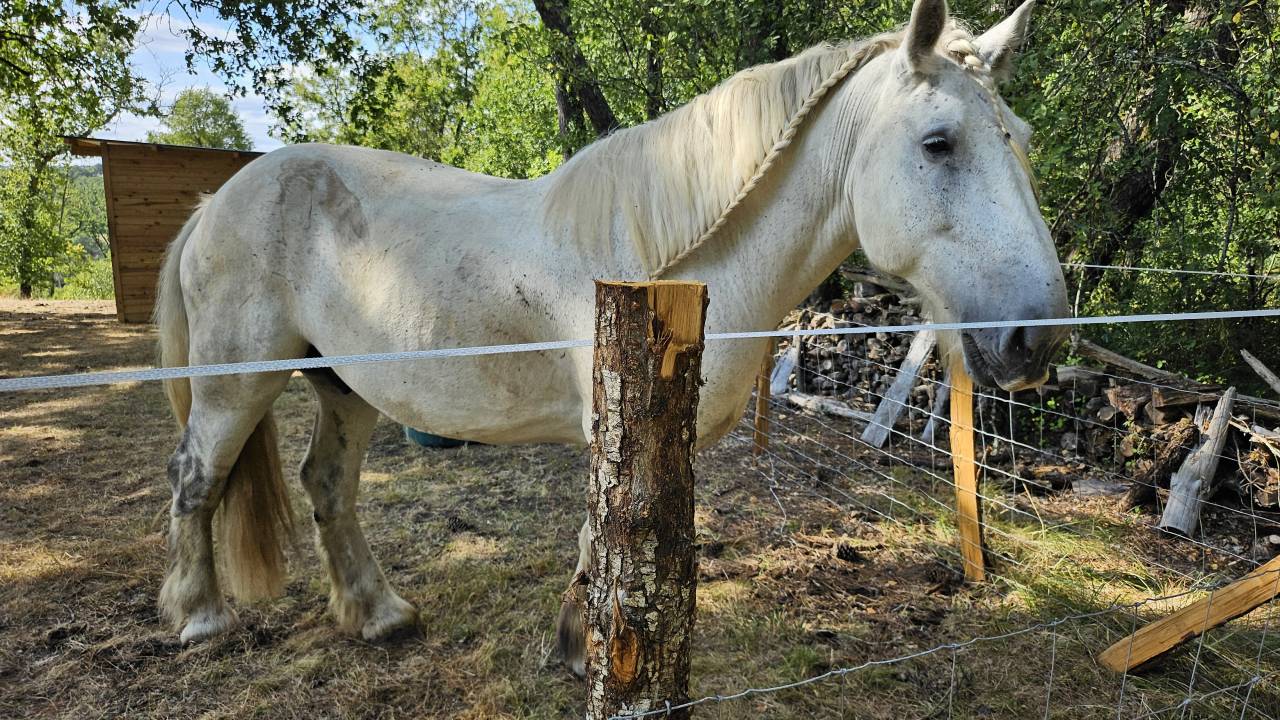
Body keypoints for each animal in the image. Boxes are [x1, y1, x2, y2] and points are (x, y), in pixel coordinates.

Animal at [153, 0, 1067, 677]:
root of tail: (215, 202)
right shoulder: (616, 426)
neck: (681, 261)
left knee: (326, 487)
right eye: (938, 143)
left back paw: (380, 617)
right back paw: (199, 617)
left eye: (1022, 140)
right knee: (196, 478)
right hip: (236, 381)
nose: (1039, 337)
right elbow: (607, 539)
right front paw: (584, 649)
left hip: (342, 384)